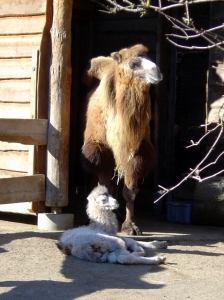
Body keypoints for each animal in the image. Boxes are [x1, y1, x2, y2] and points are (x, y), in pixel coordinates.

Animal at [81, 44, 162, 236]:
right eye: (133, 63)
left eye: (150, 58)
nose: (157, 72)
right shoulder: (99, 147)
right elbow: (103, 184)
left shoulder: (135, 150)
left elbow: (130, 190)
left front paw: (130, 226)